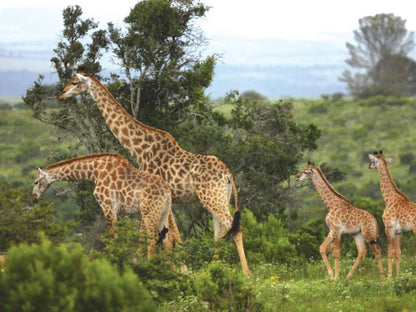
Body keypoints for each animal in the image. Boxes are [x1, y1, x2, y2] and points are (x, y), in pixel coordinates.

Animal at [31, 153, 181, 258]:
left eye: (36, 182)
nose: (33, 197)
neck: (94, 172)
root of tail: (167, 192)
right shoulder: (117, 210)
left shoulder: (108, 205)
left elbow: (113, 235)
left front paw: (115, 259)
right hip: (163, 212)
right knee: (167, 240)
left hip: (148, 212)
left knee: (153, 238)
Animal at [56, 67, 249, 272]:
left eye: (75, 82)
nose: (61, 95)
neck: (140, 149)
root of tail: (228, 174)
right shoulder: (166, 199)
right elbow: (172, 233)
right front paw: (180, 267)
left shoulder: (154, 196)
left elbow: (156, 233)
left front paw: (151, 264)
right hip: (219, 198)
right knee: (219, 232)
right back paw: (214, 267)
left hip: (212, 198)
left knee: (234, 227)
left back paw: (246, 273)